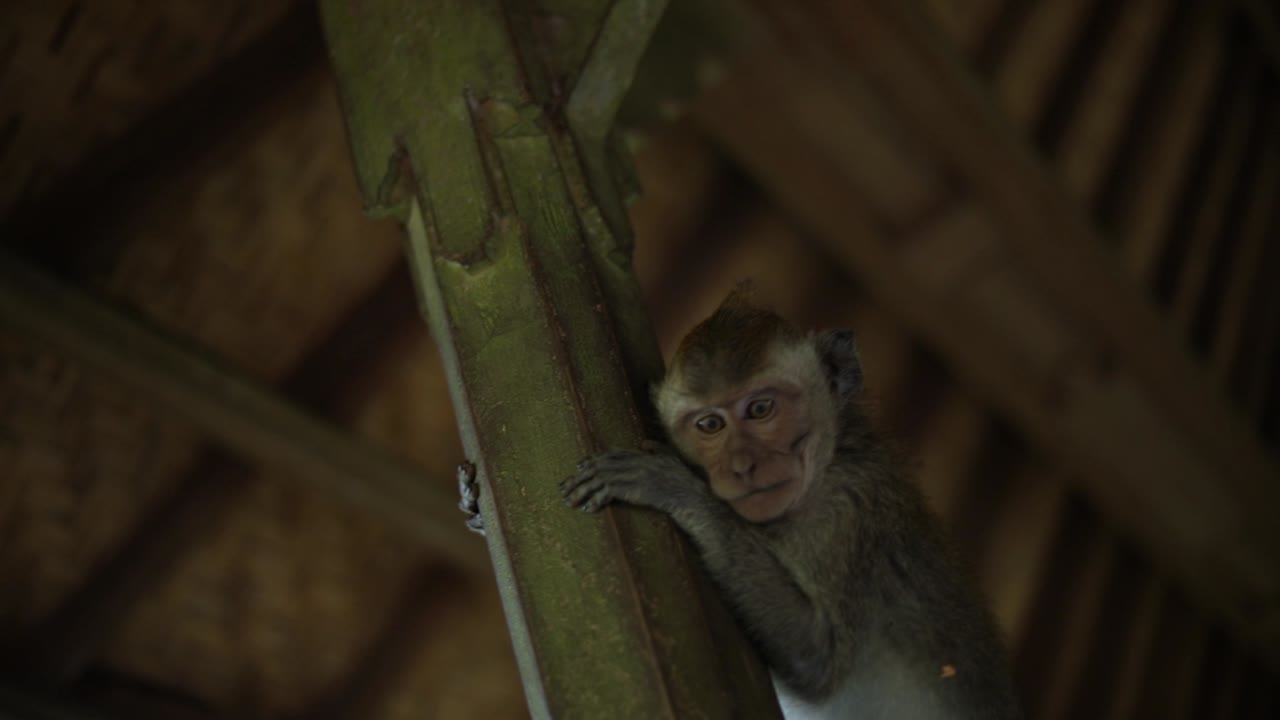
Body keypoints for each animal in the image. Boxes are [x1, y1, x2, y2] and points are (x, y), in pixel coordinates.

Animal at [560, 288, 1022, 719]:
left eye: (761, 408)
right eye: (710, 425)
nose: (741, 465)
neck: (828, 464)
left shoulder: (846, 509)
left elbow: (817, 654)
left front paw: (674, 487)